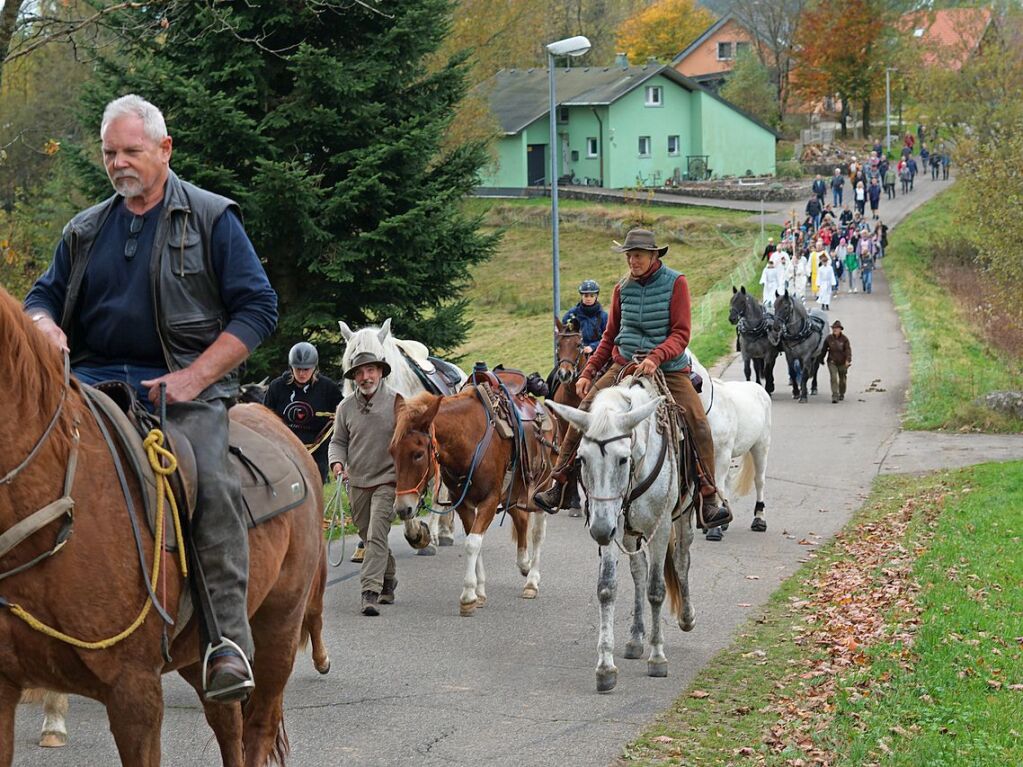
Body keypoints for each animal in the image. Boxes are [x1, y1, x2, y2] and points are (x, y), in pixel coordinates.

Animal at [337, 319, 466, 552]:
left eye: (381, 359)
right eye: (352, 359)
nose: (366, 383)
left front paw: (418, 534)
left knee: (439, 492)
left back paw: (438, 533)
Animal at [388, 386, 552, 617]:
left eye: (418, 454)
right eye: (392, 452)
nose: (403, 508)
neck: (469, 443)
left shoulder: (489, 501)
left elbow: (473, 543)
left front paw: (467, 596)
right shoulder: (464, 505)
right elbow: (475, 542)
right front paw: (479, 592)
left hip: (540, 490)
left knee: (537, 533)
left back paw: (532, 581)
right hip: (511, 493)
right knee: (520, 519)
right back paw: (524, 564)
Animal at [548, 378, 699, 695]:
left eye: (622, 459)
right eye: (581, 459)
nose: (599, 531)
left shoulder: (660, 528)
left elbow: (656, 589)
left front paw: (657, 657)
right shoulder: (612, 525)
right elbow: (608, 588)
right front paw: (605, 666)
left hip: (684, 515)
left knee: (681, 560)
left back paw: (687, 616)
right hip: (628, 531)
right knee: (638, 571)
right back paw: (635, 638)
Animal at [687, 353, 773, 539]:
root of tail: (758, 389)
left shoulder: (722, 454)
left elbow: (718, 486)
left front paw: (714, 530)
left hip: (760, 446)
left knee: (759, 481)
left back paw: (759, 519)